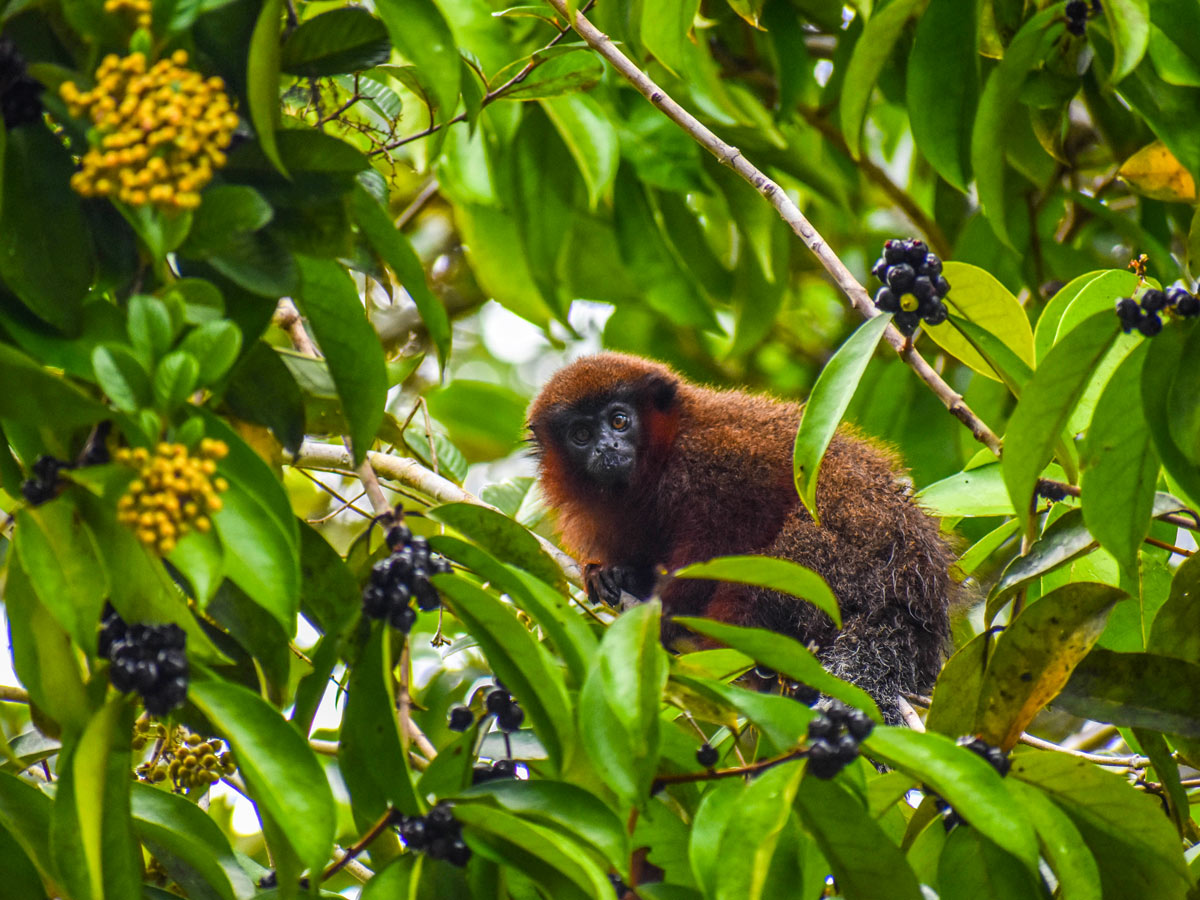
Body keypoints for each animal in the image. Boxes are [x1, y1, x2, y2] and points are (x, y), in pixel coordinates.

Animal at [530, 352, 950, 724]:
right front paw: (614, 573)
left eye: (619, 421)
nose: (606, 447)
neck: (663, 457)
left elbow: (727, 533)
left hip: (857, 557)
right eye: (581, 434)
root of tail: (920, 592)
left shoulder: (717, 458)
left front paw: (666, 609)